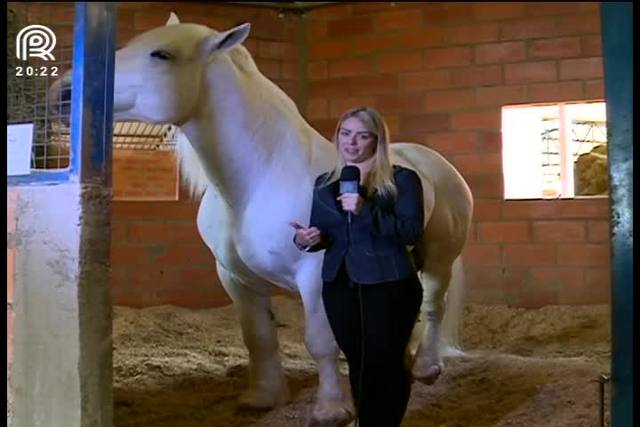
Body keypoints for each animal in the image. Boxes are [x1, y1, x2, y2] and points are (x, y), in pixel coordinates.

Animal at [51, 14, 476, 427]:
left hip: (438, 261)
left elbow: (320, 341)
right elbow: (259, 337)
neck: (261, 176)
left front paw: (331, 410)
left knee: (432, 307)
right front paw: (264, 397)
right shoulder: (234, 277)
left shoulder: (314, 274)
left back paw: (425, 368)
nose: (62, 94)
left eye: (161, 54)